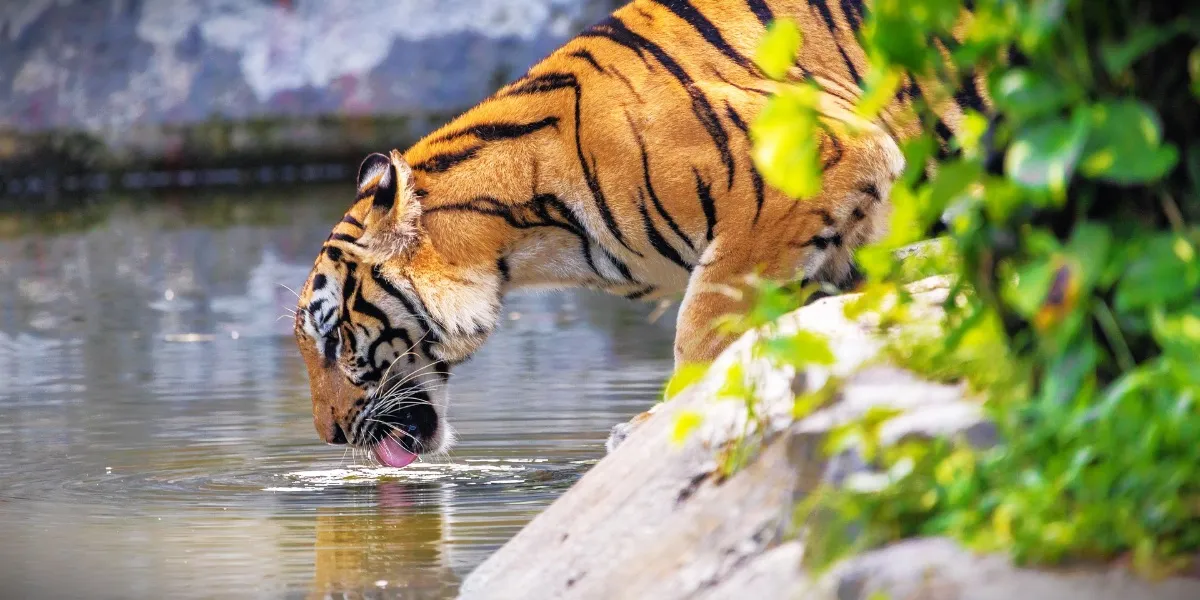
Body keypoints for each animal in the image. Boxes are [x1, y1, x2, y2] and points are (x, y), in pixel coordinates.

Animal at [292, 0, 991, 467]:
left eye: (335, 339)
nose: (328, 434)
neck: (530, 240)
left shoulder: (815, 155)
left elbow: (702, 324)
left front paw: (657, 421)